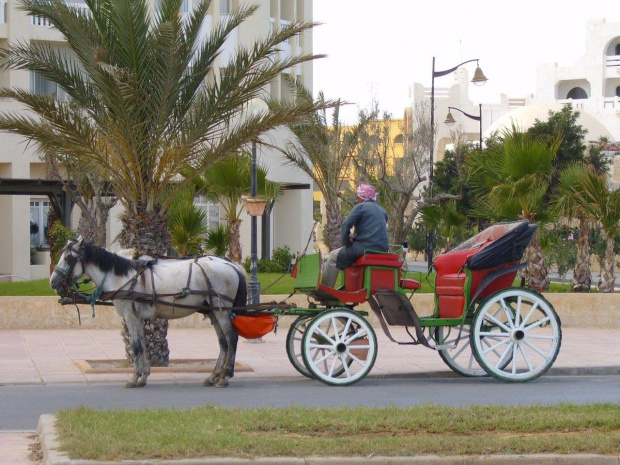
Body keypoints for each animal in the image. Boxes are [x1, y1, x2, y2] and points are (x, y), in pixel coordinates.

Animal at [49, 237, 247, 386]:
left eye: (68, 258)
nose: (53, 282)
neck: (124, 278)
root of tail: (232, 266)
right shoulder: (137, 318)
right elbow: (142, 345)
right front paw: (143, 376)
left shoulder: (130, 316)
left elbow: (136, 346)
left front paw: (134, 378)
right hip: (214, 312)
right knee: (223, 343)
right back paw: (213, 376)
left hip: (222, 311)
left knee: (231, 339)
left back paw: (225, 376)